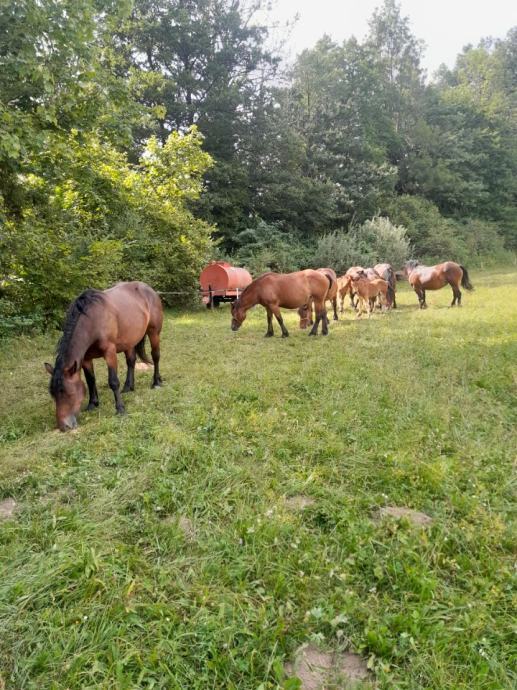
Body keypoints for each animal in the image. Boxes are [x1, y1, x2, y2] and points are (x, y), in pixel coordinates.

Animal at [44, 280, 162, 430]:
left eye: (68, 393)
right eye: (53, 394)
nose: (64, 426)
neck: (93, 320)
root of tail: (149, 289)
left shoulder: (109, 352)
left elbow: (113, 381)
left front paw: (120, 409)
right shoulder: (86, 359)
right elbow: (90, 380)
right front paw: (92, 404)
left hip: (154, 332)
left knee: (155, 356)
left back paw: (156, 382)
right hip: (129, 340)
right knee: (131, 361)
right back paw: (128, 387)